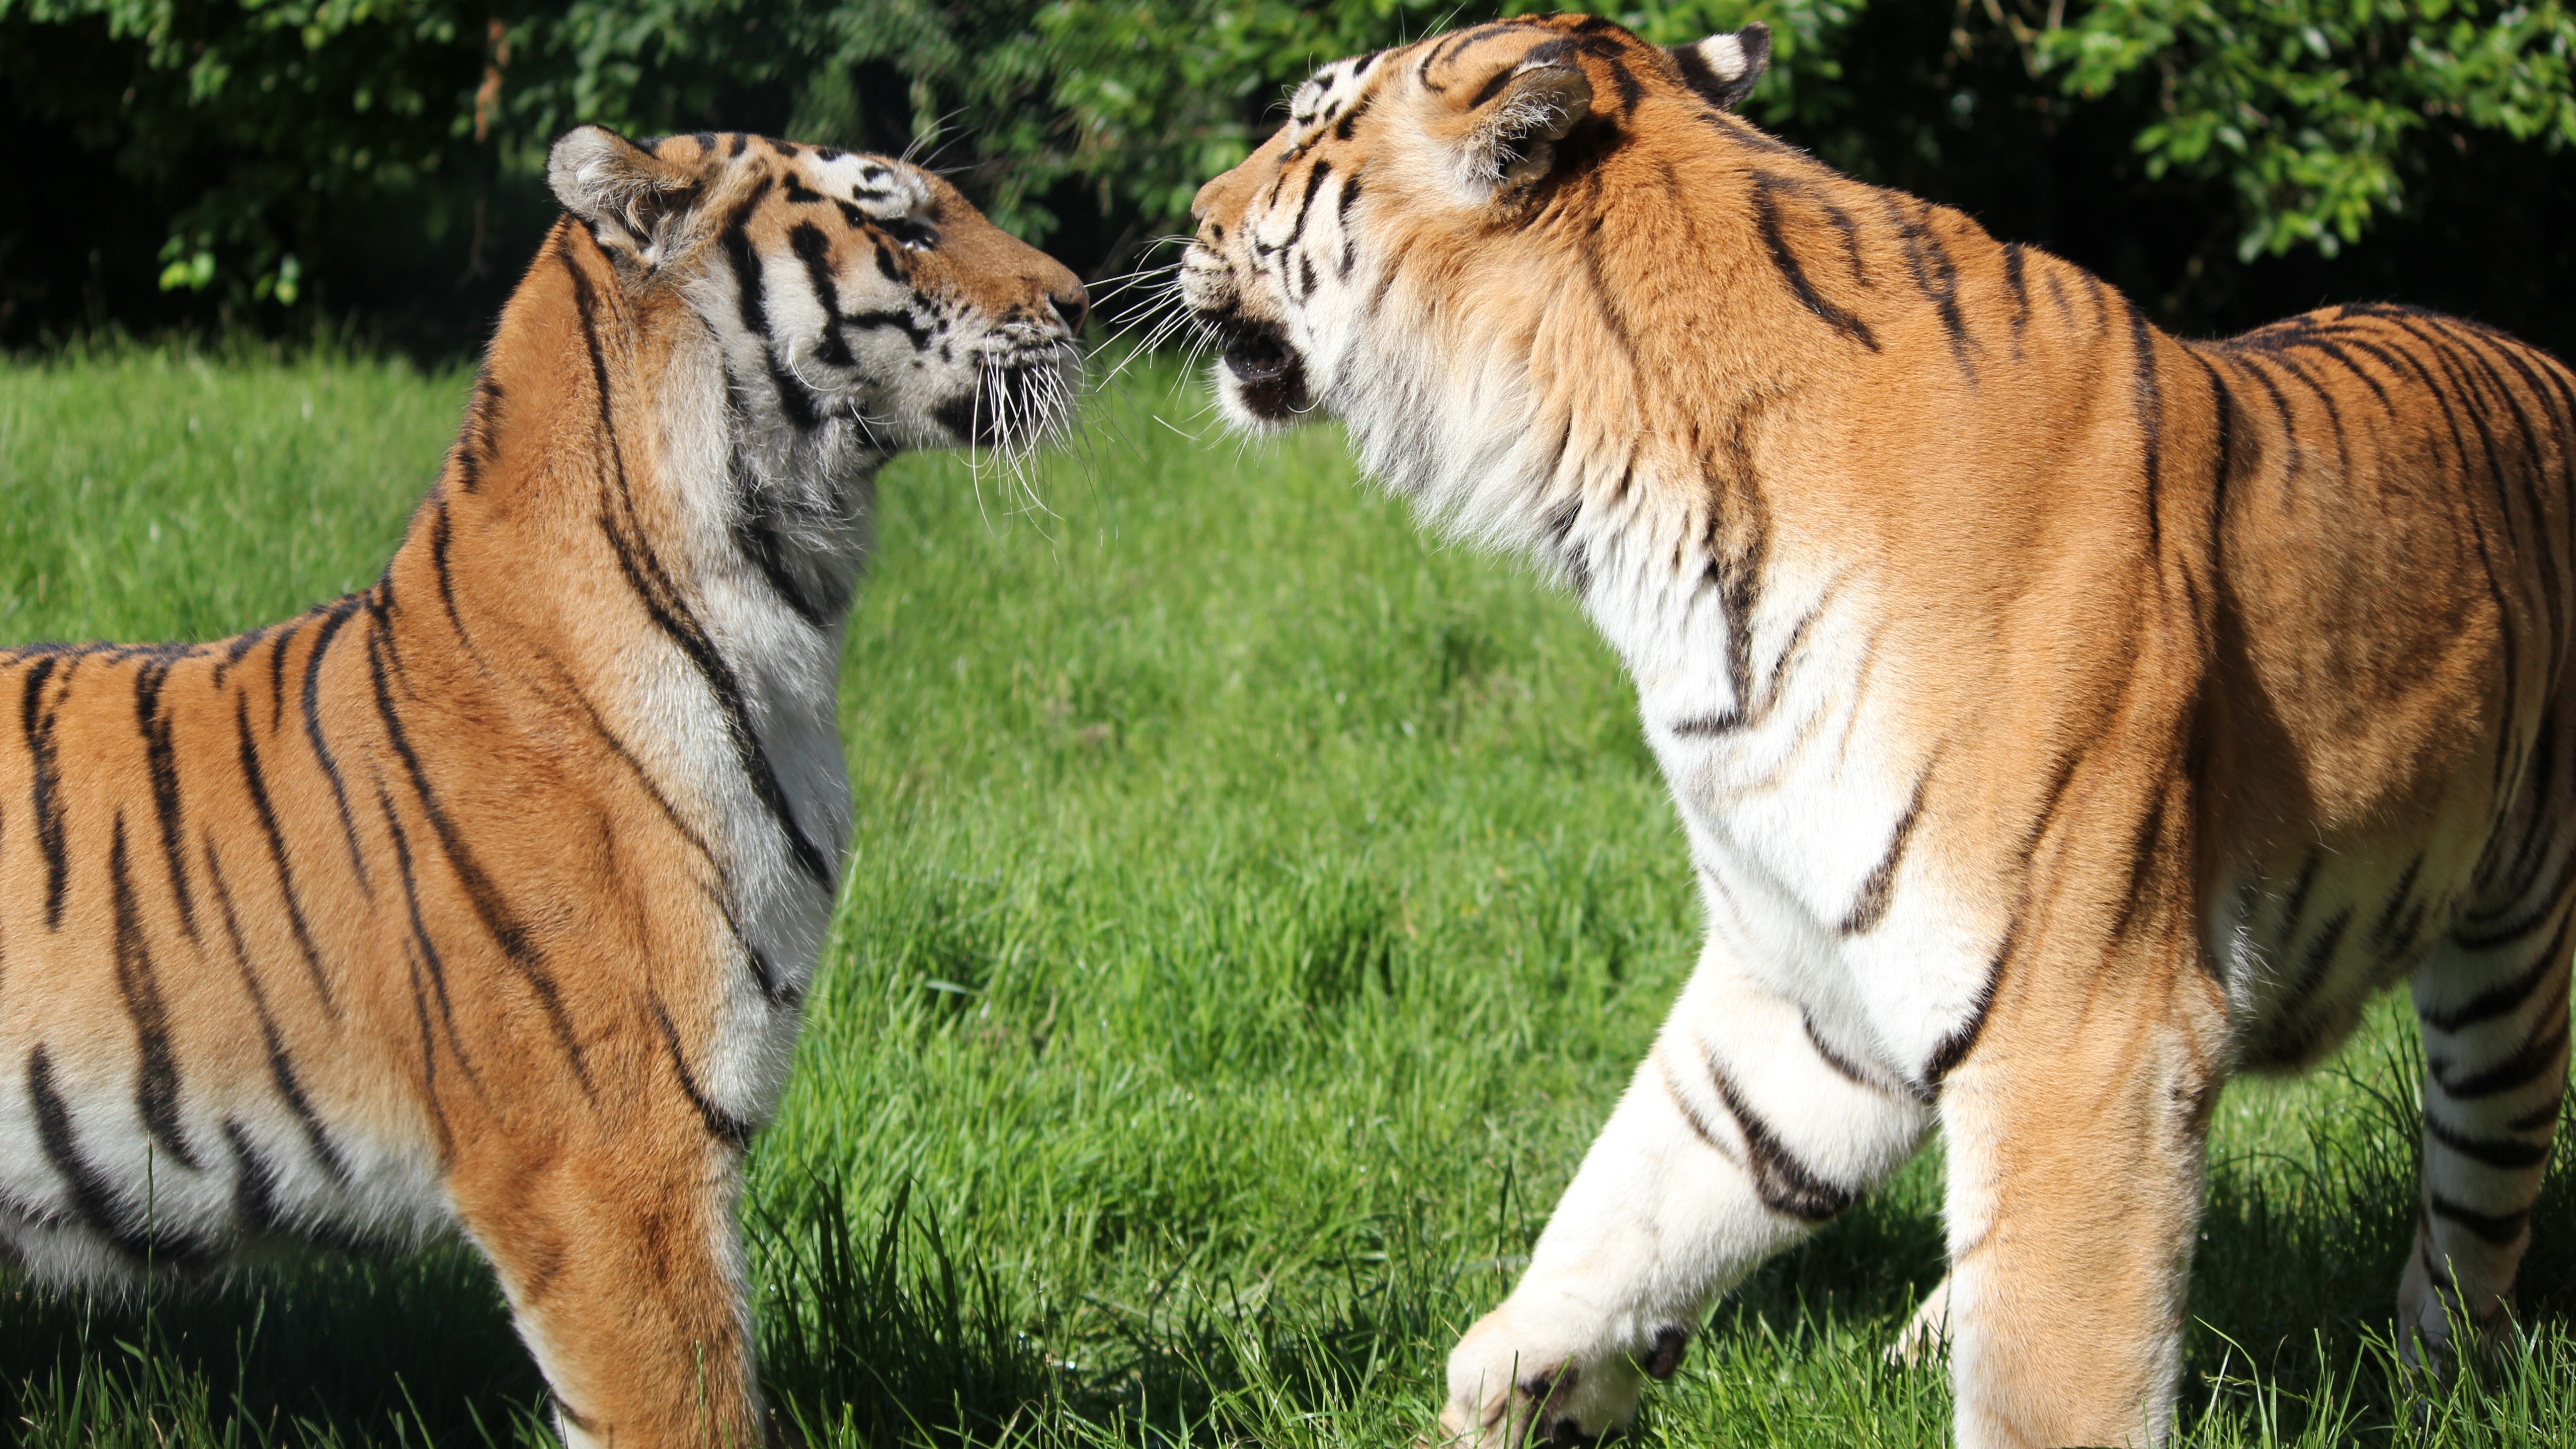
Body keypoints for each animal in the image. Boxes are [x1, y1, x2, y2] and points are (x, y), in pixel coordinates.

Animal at [1180, 14, 2576, 1444]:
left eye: (1305, 125)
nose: (1192, 211)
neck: (1624, 509)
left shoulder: (2083, 1027)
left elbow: (2052, 1378)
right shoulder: (1809, 978)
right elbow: (1640, 1195)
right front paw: (1514, 1387)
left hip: (2510, 976)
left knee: (2472, 1226)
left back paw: (2442, 1384)